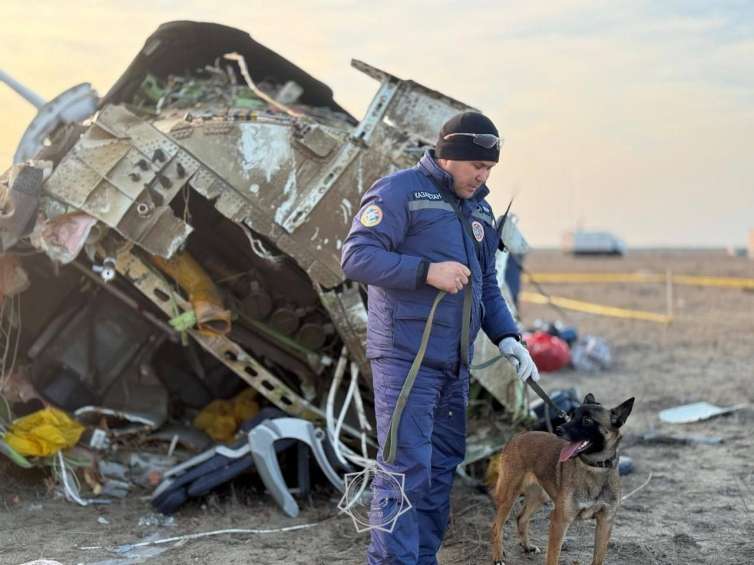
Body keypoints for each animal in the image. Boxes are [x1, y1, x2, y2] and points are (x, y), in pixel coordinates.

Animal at [490, 392, 632, 564]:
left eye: (587, 420)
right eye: (572, 416)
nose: (558, 429)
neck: (594, 468)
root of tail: (518, 436)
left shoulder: (605, 523)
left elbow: (598, 558)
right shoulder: (559, 521)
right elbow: (552, 558)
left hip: (539, 496)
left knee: (521, 518)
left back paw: (527, 546)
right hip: (509, 496)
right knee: (496, 525)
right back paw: (498, 556)